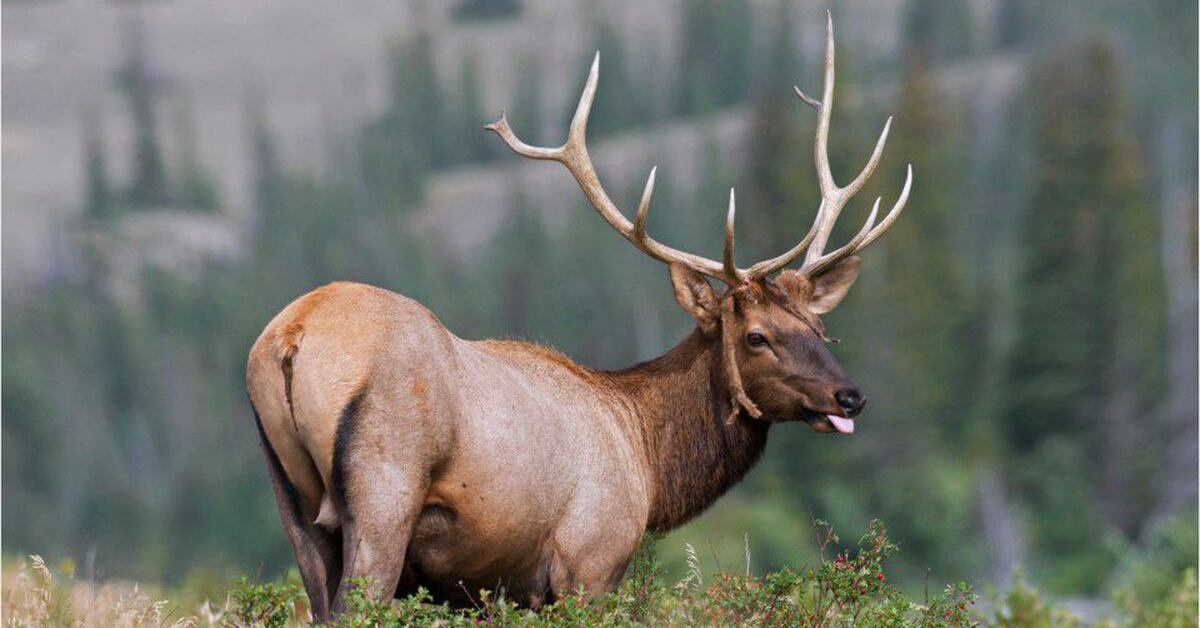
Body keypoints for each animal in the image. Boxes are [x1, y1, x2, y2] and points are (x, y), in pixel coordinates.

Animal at [248, 14, 912, 624]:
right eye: (756, 336)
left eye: (820, 330)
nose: (850, 396)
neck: (648, 460)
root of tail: (291, 337)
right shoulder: (590, 561)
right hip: (384, 491)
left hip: (295, 505)